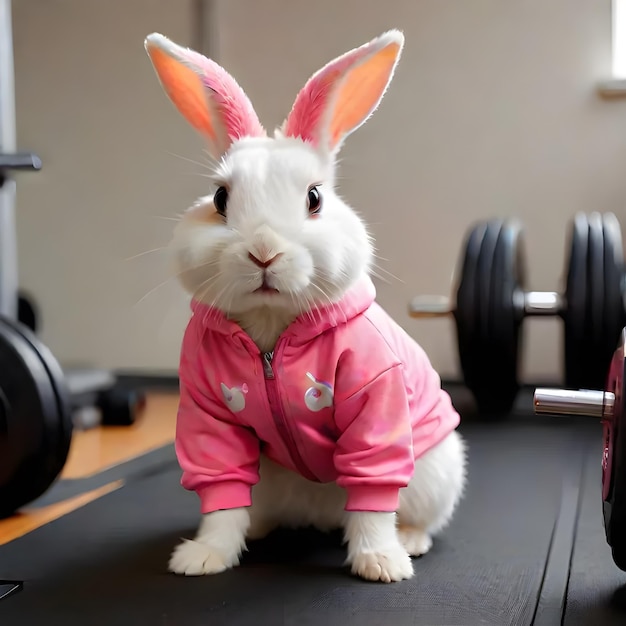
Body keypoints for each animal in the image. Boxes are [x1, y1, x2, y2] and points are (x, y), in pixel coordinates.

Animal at [145, 29, 464, 584]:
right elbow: (219, 493)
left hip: (435, 473)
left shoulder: (376, 402)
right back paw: (257, 531)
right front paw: (203, 558)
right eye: (220, 199)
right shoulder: (207, 415)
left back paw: (408, 541)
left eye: (315, 198)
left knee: (409, 512)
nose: (264, 251)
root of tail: (319, 514)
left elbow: (372, 493)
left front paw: (381, 564)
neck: (272, 332)